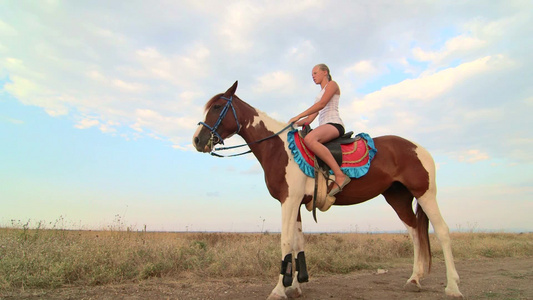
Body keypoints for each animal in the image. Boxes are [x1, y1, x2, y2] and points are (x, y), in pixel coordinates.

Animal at [192, 81, 462, 298]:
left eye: (217, 107)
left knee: (442, 232)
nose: (197, 140)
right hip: (398, 198)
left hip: (425, 194)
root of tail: (419, 148)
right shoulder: (297, 203)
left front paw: (279, 290)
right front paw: (295, 287)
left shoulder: (288, 201)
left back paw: (453, 287)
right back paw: (414, 279)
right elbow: (297, 243)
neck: (280, 149)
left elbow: (285, 241)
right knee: (415, 232)